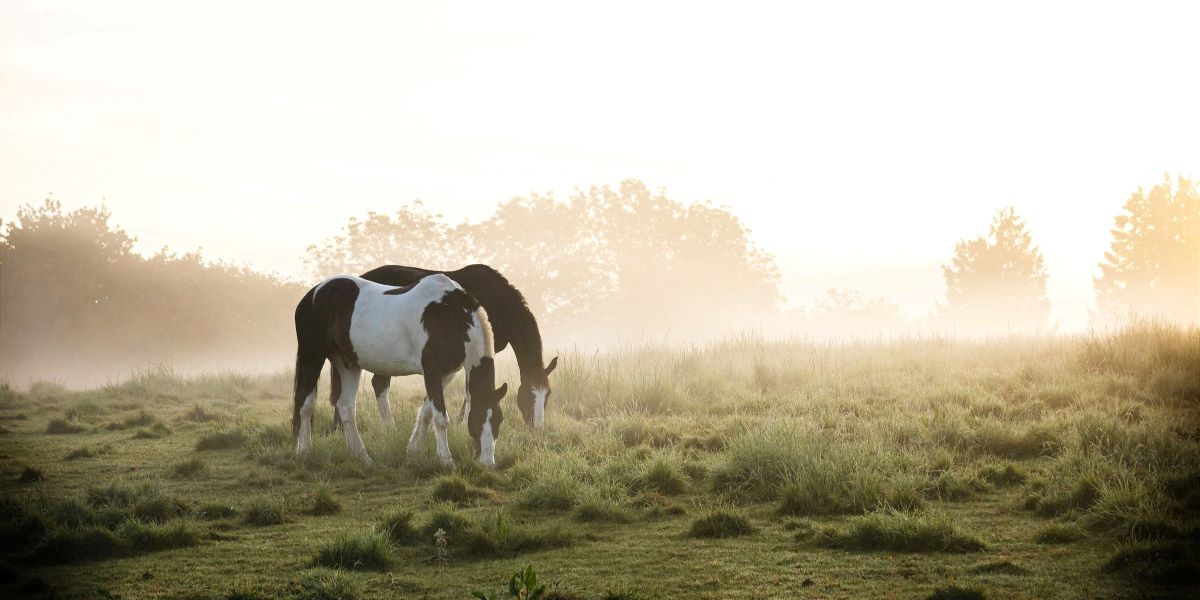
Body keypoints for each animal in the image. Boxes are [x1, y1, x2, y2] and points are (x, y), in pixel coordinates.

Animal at [300, 274, 511, 465]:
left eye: (499, 420)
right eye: (477, 418)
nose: (488, 463)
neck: (448, 314)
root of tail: (314, 292)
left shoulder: (446, 374)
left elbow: (426, 413)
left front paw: (413, 451)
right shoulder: (432, 371)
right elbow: (440, 418)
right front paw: (446, 460)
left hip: (348, 364)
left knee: (345, 407)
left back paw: (363, 457)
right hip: (312, 355)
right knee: (306, 405)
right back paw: (303, 451)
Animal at [338, 265, 556, 429]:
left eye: (548, 395)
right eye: (530, 395)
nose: (536, 428)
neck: (497, 302)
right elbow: (470, 391)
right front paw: (464, 424)